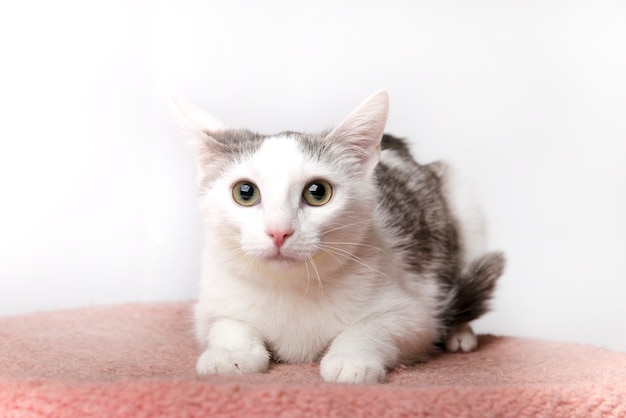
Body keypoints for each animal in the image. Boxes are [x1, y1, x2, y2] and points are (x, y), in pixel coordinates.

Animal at [173, 90, 504, 384]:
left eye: (317, 192)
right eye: (245, 192)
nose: (279, 231)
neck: (291, 287)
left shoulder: (416, 316)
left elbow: (372, 328)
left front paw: (351, 359)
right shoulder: (210, 305)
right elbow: (226, 324)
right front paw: (231, 353)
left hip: (461, 200)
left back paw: (460, 332)